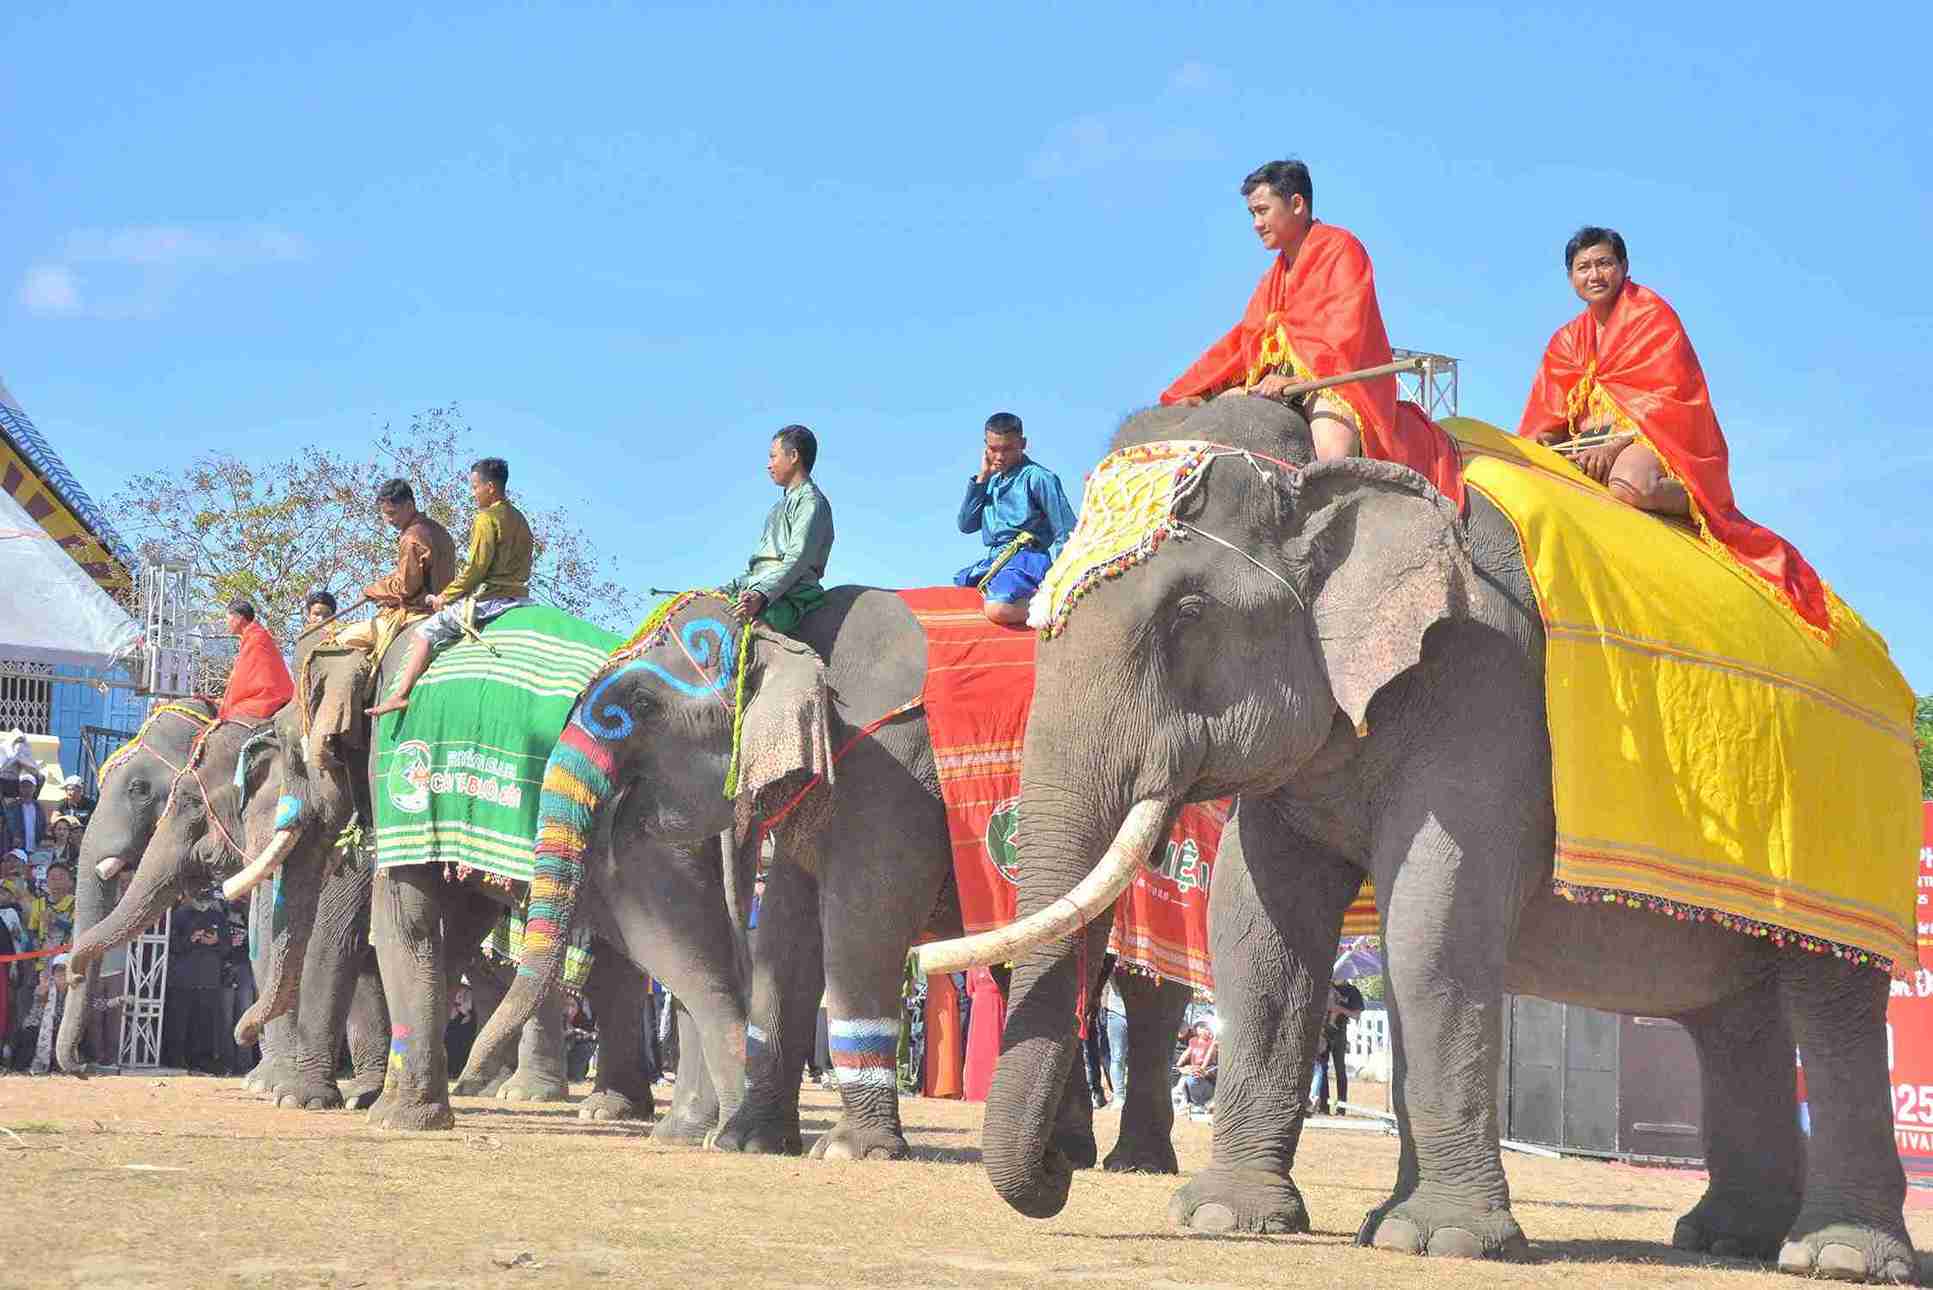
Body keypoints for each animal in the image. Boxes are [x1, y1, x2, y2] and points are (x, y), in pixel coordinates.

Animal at [463, 584, 1190, 1168]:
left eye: (639, 704)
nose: (468, 1079)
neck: (792, 630)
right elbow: (787, 931)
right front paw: (747, 1143)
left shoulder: (889, 761)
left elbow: (863, 919)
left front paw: (848, 1152)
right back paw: (1061, 1154)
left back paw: (1112, 1161)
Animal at [939, 398, 1917, 1284]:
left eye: (1186, 613)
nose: (1062, 1166)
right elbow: (1257, 933)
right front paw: (1225, 1217)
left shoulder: (1483, 680)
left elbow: (1431, 922)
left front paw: (1434, 1239)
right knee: (1732, 1020)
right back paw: (1724, 1240)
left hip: (1855, 832)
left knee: (1832, 1007)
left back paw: (1833, 1257)